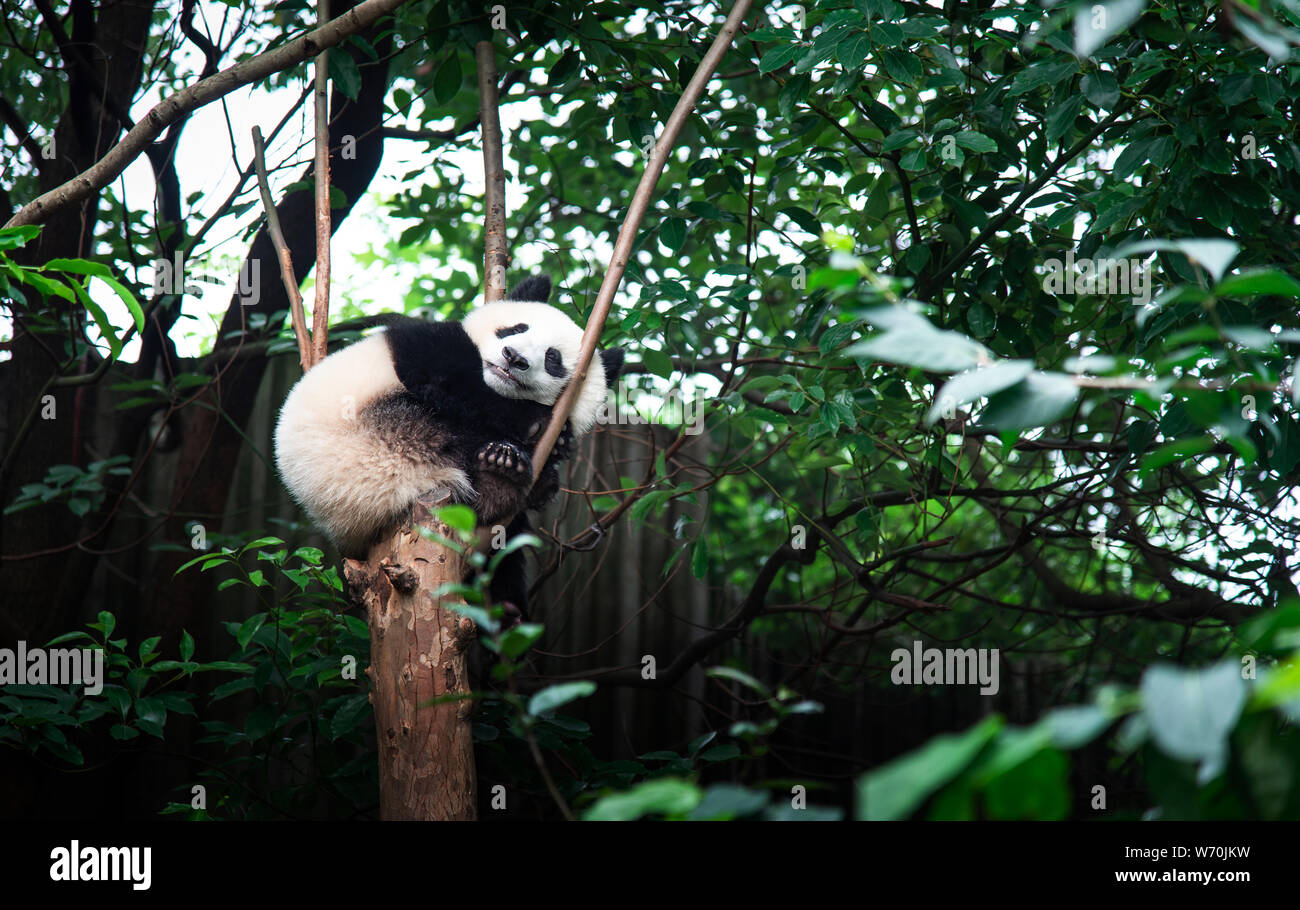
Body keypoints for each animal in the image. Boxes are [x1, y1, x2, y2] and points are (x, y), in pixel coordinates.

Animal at [273, 275, 624, 619]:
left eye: (553, 358)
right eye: (515, 329)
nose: (514, 357)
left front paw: (558, 440)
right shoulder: (423, 343)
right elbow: (444, 373)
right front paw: (534, 422)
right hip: (373, 434)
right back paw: (500, 470)